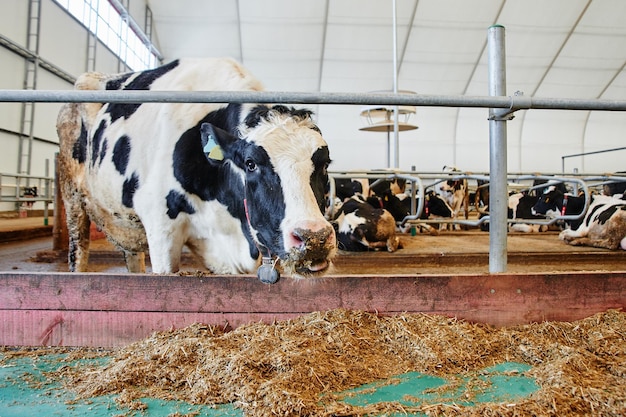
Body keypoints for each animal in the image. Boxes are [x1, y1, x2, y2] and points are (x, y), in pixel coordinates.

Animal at [56, 57, 334, 280]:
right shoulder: (160, 226)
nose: (313, 237)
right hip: (72, 197)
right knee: (77, 253)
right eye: (251, 164)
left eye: (325, 164)